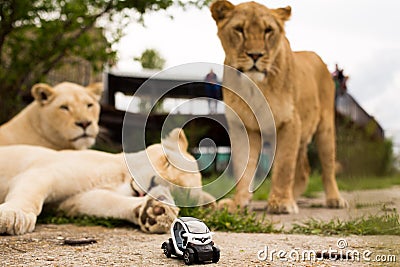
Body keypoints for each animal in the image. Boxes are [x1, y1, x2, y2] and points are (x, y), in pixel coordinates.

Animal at [0, 129, 212, 236]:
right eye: (166, 162)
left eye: (178, 192)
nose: (151, 185)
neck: (117, 179)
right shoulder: (45, 172)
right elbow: (30, 195)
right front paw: (13, 216)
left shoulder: (72, 202)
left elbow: (108, 203)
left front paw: (153, 212)